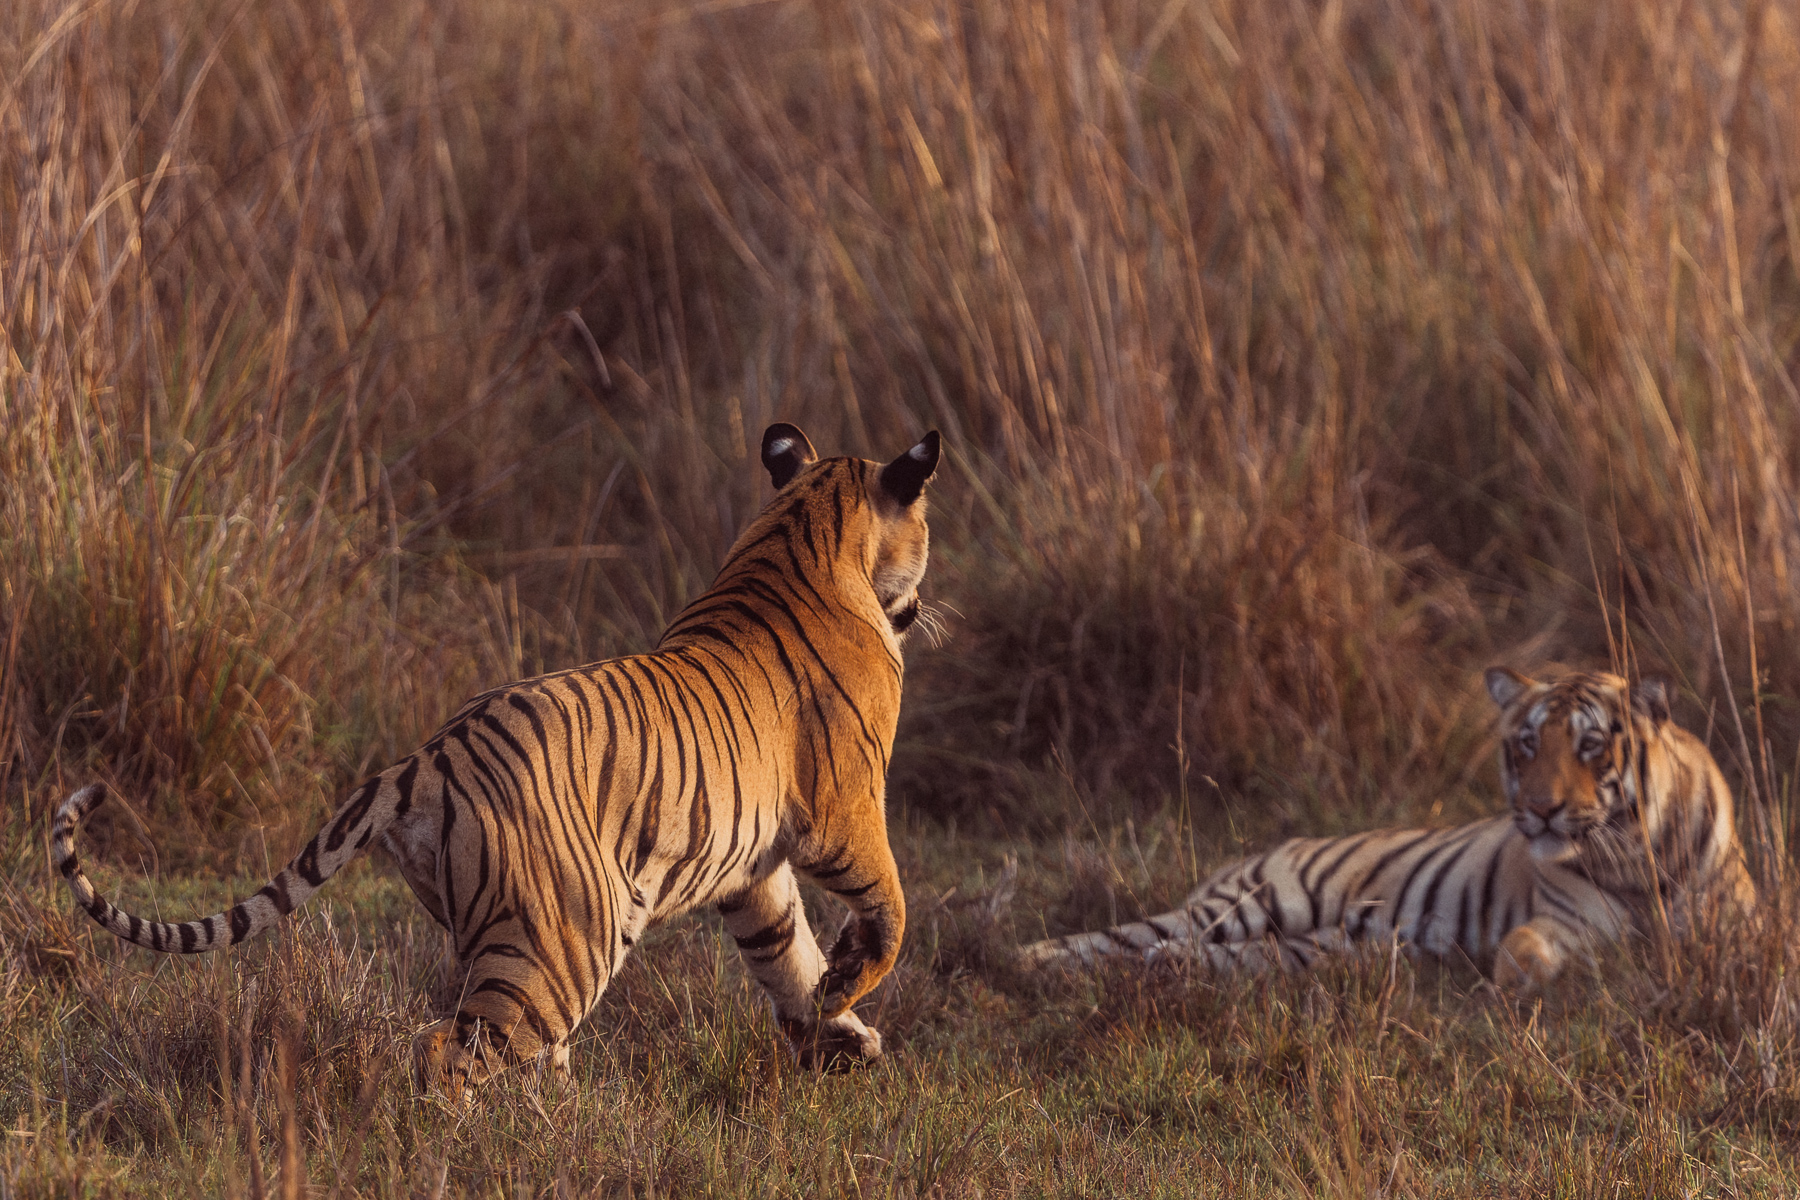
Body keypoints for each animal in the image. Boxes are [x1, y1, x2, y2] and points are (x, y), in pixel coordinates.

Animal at [53, 421, 940, 1091]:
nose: (922, 607)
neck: (804, 527)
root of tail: (422, 759)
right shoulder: (844, 815)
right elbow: (890, 911)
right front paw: (847, 995)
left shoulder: (752, 865)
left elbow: (785, 949)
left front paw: (836, 1030)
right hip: (560, 941)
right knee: (449, 1051)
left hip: (501, 932)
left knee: (492, 1042)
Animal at [1021, 667, 1755, 990]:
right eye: (1526, 745)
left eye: (1590, 745)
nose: (1542, 808)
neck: (1638, 855)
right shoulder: (1566, 923)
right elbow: (1524, 949)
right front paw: (1509, 982)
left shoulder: (1732, 926)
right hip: (1252, 903)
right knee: (1111, 938)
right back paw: (1032, 963)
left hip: (1307, 948)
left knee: (1189, 955)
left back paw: (1162, 970)